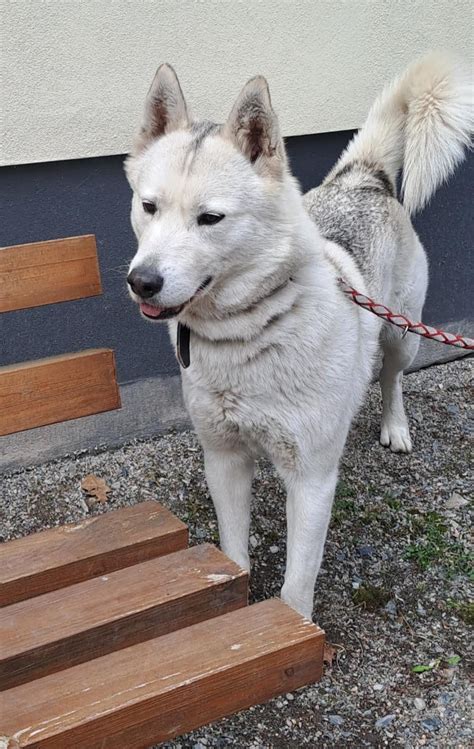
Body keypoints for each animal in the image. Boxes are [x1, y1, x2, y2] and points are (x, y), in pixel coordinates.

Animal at [125, 55, 470, 616]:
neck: (253, 331)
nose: (142, 281)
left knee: (392, 378)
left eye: (211, 218)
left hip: (404, 334)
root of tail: (361, 180)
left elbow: (295, 585)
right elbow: (234, 554)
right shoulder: (224, 459)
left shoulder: (311, 480)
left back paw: (395, 426)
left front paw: (295, 625)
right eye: (149, 206)